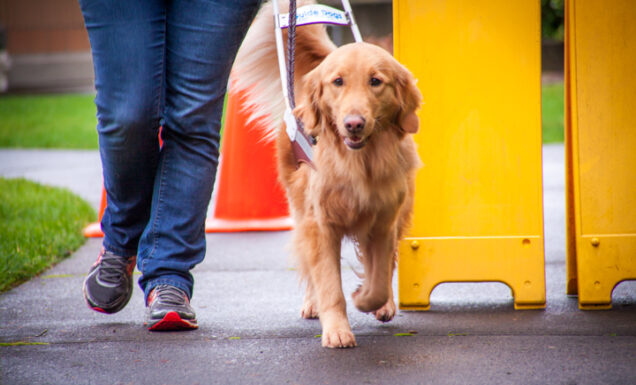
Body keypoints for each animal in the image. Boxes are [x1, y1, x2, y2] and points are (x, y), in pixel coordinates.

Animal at [234, 0, 422, 348]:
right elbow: (329, 283)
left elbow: (379, 276)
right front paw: (336, 330)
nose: (354, 124)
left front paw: (367, 297)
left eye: (376, 81)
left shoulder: (384, 220)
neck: (359, 164)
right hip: (300, 208)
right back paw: (313, 304)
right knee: (310, 268)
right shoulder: (320, 224)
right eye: (338, 82)